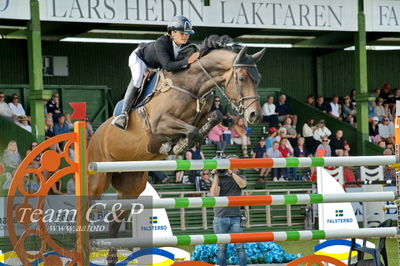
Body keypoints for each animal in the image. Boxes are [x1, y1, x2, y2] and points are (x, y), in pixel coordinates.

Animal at [87, 44, 266, 264]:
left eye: (258, 79)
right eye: (241, 78)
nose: (255, 115)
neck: (193, 86)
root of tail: (95, 135)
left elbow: (213, 117)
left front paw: (183, 142)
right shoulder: (159, 124)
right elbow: (191, 130)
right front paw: (176, 146)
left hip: (131, 184)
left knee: (115, 219)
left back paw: (112, 258)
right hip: (97, 178)